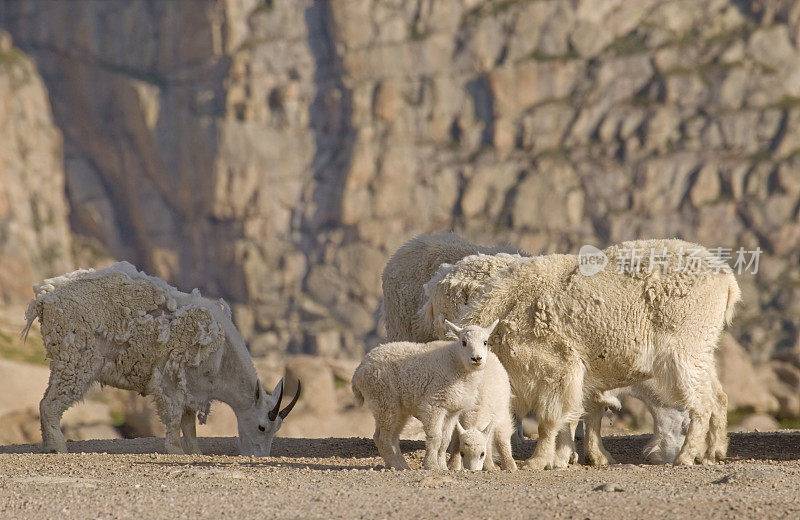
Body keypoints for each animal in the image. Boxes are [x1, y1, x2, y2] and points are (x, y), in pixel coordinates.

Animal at [25, 264, 302, 456]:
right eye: (262, 427)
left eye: (276, 430)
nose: (258, 457)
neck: (222, 357)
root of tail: (44, 300)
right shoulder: (171, 381)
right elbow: (174, 416)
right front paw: (175, 449)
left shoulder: (192, 388)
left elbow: (189, 423)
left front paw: (195, 452)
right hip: (76, 360)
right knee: (50, 404)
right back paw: (57, 447)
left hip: (64, 362)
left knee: (44, 400)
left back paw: (47, 444)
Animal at [354, 318, 496, 470]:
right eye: (464, 342)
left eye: (485, 342)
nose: (476, 358)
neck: (456, 362)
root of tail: (359, 370)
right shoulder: (434, 404)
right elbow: (435, 437)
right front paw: (431, 465)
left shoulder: (452, 410)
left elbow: (445, 440)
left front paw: (443, 467)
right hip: (383, 400)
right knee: (384, 437)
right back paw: (396, 465)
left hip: (395, 408)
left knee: (389, 436)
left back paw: (400, 465)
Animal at [460, 242, 740, 470]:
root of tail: (728, 282)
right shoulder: (577, 377)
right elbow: (580, 414)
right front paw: (575, 457)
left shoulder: (556, 369)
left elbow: (550, 421)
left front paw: (539, 461)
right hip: (702, 350)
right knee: (719, 396)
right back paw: (713, 452)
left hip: (684, 350)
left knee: (701, 403)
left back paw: (686, 456)